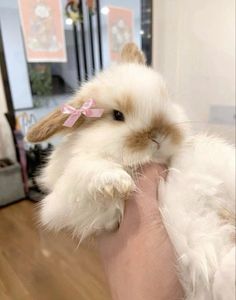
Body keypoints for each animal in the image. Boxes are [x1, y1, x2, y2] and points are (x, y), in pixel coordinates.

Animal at [26, 43, 235, 298]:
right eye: (117, 115)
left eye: (165, 98)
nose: (158, 135)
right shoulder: (82, 208)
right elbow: (89, 171)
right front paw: (118, 182)